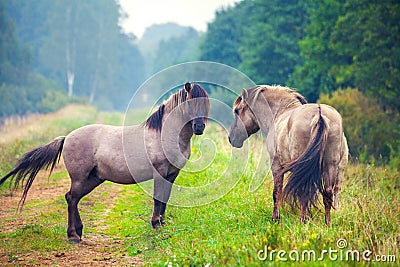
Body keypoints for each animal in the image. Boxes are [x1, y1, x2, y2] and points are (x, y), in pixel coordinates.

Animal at [0, 82, 211, 244]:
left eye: (206, 104)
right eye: (190, 104)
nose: (199, 127)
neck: (163, 134)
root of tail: (67, 137)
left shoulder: (171, 175)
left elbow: (165, 199)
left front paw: (162, 224)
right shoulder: (160, 173)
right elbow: (158, 199)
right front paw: (156, 225)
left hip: (93, 179)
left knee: (72, 198)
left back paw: (79, 232)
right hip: (80, 178)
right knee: (71, 198)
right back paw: (73, 236)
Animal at [230, 85, 348, 226]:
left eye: (237, 111)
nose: (231, 138)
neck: (280, 112)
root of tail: (319, 115)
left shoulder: (276, 166)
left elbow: (277, 192)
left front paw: (275, 218)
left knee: (304, 191)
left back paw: (303, 221)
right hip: (330, 165)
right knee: (328, 193)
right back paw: (327, 224)